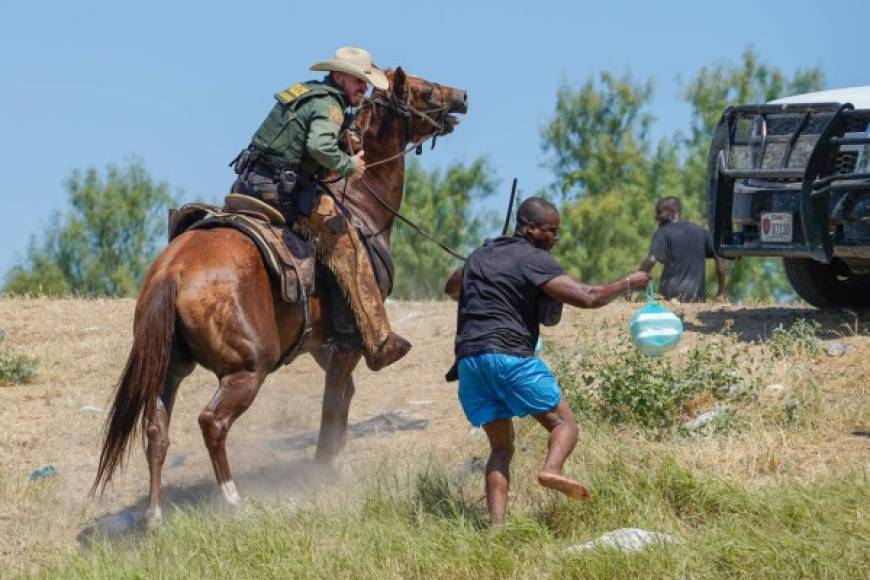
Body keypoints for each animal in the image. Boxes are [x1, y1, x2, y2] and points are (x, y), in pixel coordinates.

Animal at [93, 65, 470, 528]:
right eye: (425, 90)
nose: (462, 96)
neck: (361, 204)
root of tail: (173, 271)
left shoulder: (321, 344)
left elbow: (342, 396)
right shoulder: (348, 341)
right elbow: (333, 402)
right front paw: (326, 467)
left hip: (170, 367)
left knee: (155, 430)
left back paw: (154, 515)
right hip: (247, 369)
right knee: (212, 422)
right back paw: (232, 499)